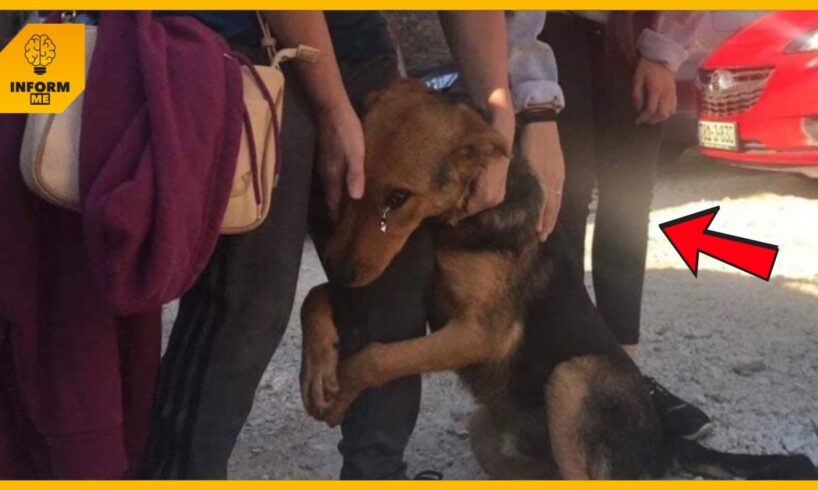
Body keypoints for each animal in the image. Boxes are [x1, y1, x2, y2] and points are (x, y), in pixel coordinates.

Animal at [300, 79, 816, 478]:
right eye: (346, 184)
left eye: (398, 198)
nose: (341, 269)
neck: (461, 219)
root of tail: (666, 439)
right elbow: (314, 297)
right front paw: (318, 370)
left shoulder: (479, 332)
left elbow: (376, 358)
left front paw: (339, 390)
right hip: (488, 432)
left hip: (572, 379)